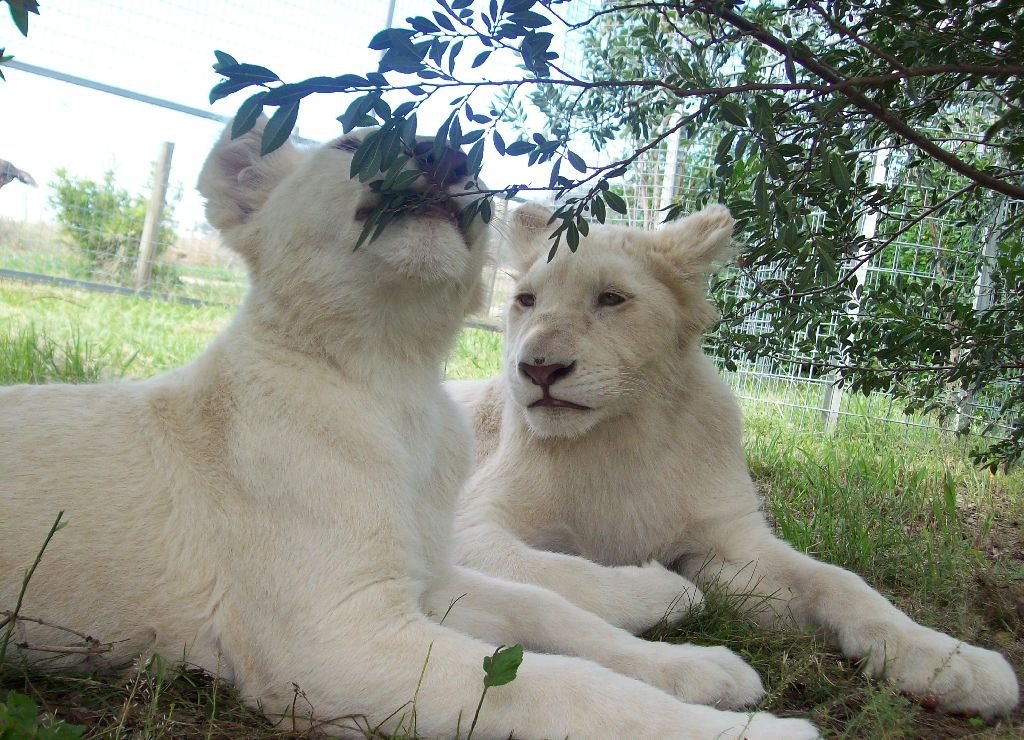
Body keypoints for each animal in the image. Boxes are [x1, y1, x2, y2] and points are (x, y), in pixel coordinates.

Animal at [0, 123, 817, 739]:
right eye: (349, 139)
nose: (445, 153)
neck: (397, 380)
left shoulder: (431, 575)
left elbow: (547, 608)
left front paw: (700, 664)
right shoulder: (335, 640)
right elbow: (563, 686)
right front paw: (754, 732)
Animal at [450, 201, 1020, 721]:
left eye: (611, 298)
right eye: (526, 301)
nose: (538, 369)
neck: (618, 437)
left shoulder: (731, 543)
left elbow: (839, 581)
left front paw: (949, 661)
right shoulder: (471, 525)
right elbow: (556, 571)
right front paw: (666, 591)